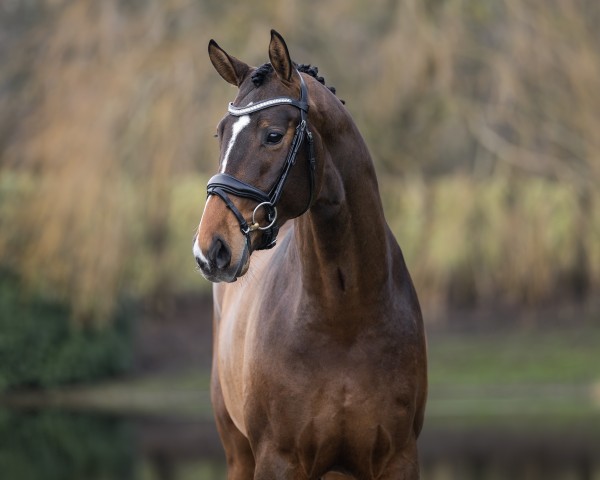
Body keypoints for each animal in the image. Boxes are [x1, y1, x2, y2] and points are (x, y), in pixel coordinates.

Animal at [192, 31, 426, 480]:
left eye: (272, 135)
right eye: (220, 133)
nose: (210, 249)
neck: (344, 316)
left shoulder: (398, 460)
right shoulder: (277, 460)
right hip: (238, 453)